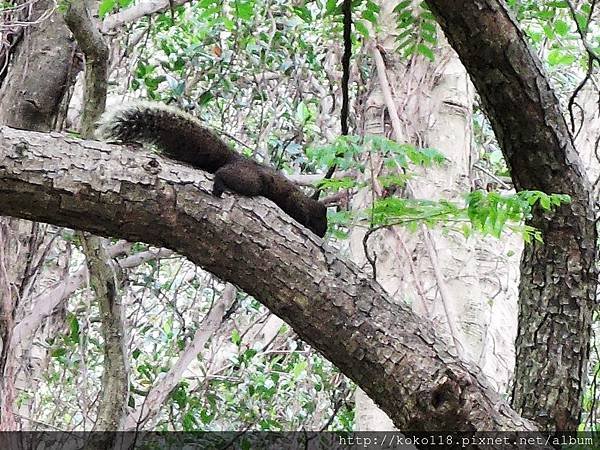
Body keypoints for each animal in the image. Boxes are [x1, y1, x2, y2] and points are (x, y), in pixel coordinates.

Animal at [97, 101, 328, 236]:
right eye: (322, 221)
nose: (323, 233)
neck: (308, 203)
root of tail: (236, 157)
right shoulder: (296, 204)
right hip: (249, 180)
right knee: (223, 174)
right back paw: (219, 184)